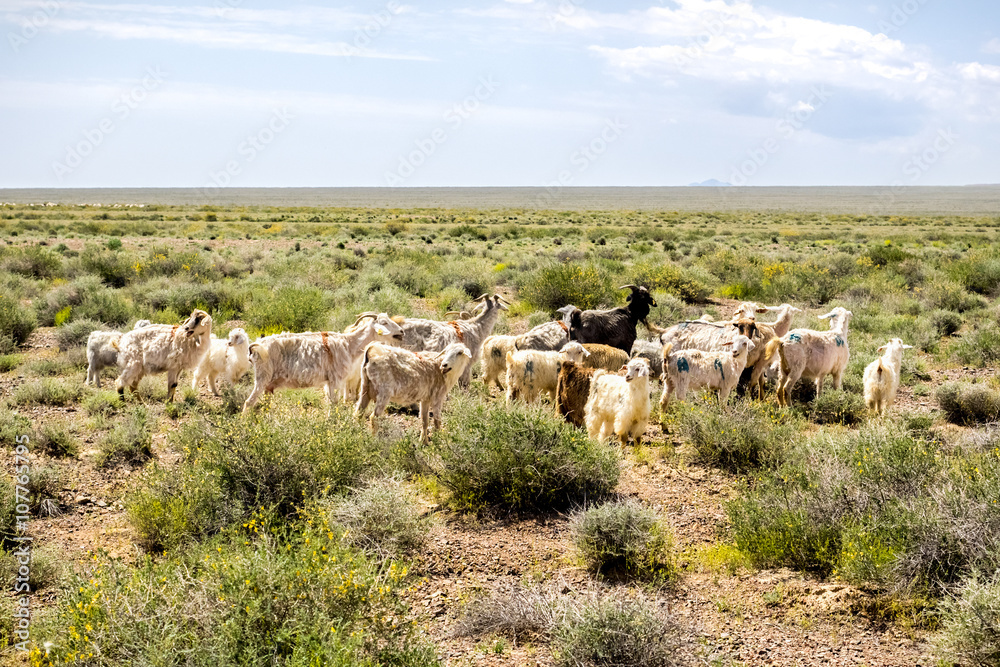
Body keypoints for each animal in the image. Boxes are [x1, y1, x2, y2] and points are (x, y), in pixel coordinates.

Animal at [244, 314, 404, 412]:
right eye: (384, 322)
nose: (401, 332)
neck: (348, 344)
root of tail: (256, 346)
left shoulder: (329, 382)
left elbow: (330, 404)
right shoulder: (335, 380)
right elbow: (333, 406)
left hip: (268, 385)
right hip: (262, 378)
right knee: (248, 402)